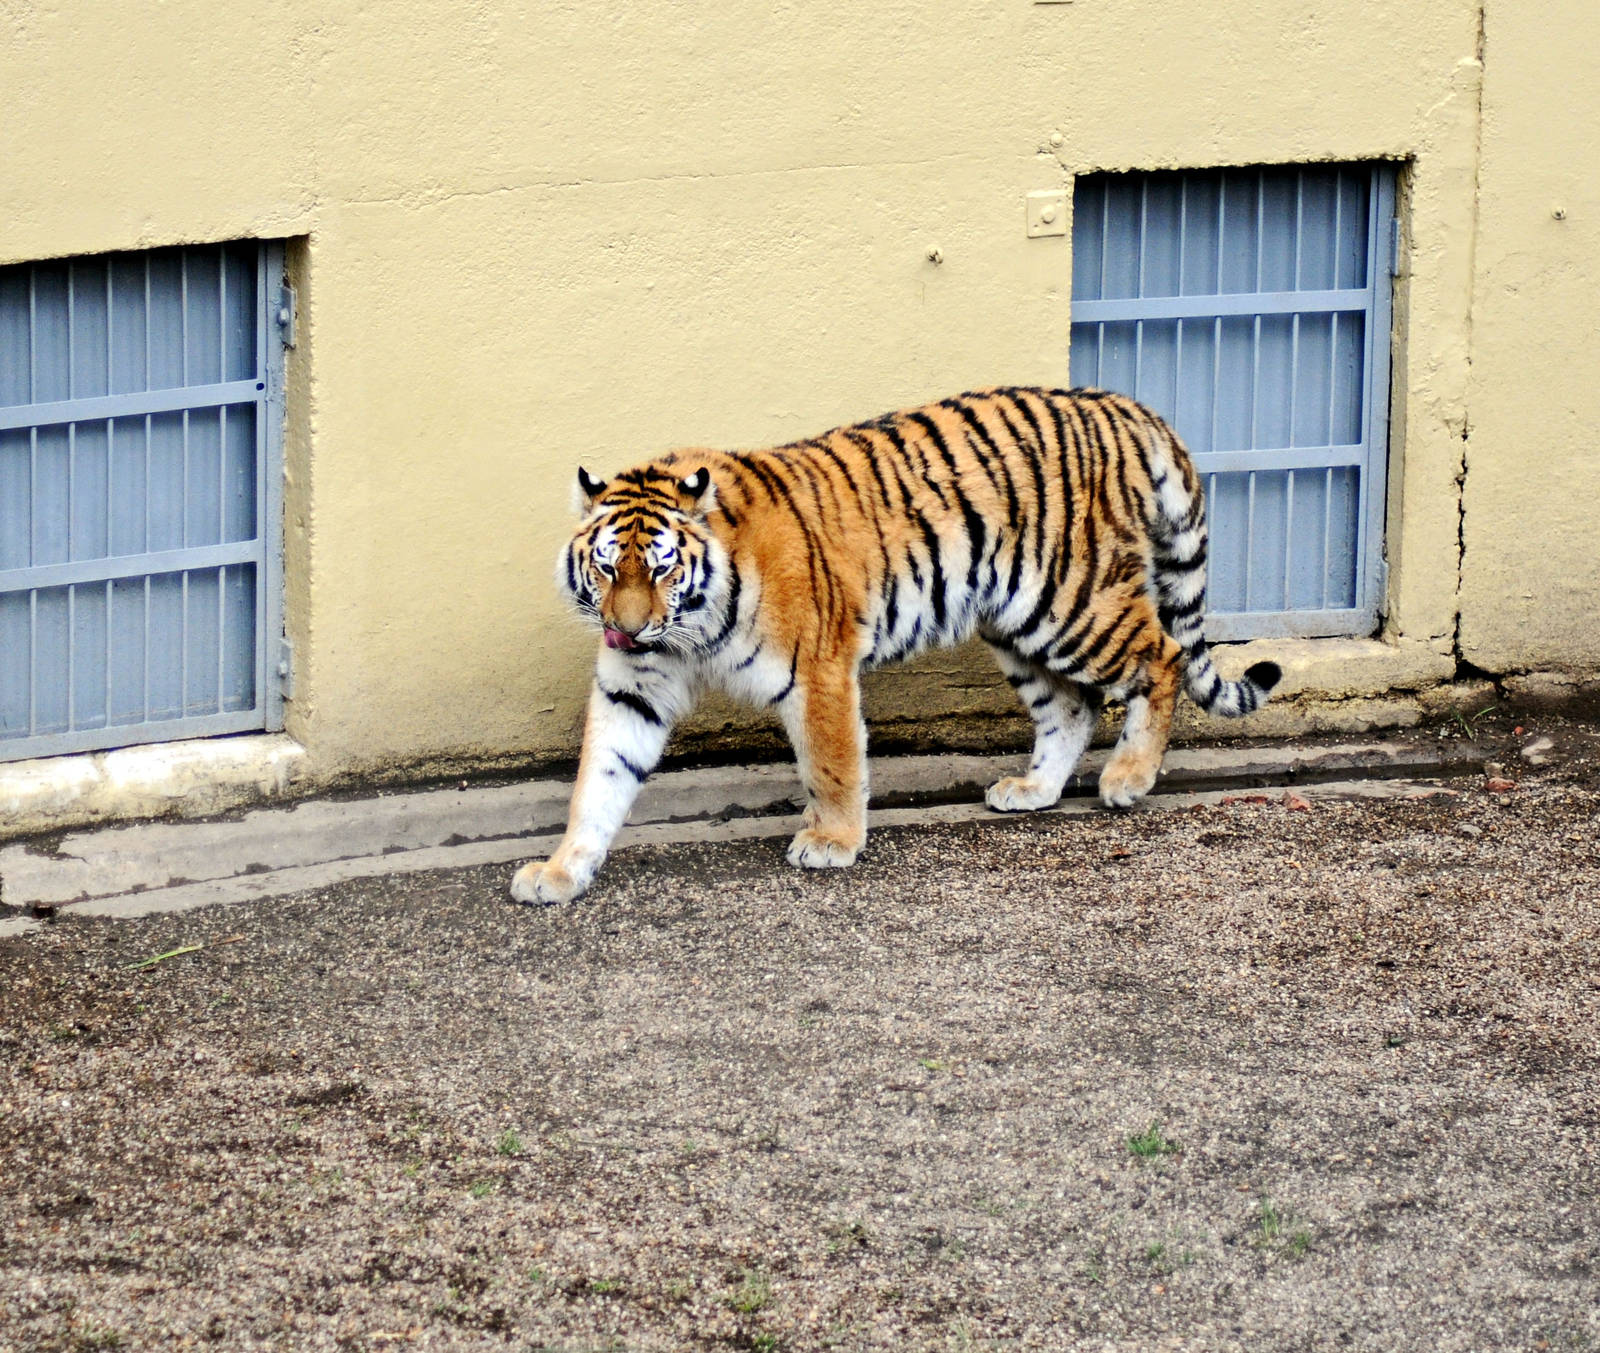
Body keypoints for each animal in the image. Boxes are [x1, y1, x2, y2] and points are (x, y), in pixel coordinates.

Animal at [509, 386, 1280, 905]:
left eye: (663, 568)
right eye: (608, 568)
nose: (627, 628)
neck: (687, 629)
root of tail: (1119, 404)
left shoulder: (816, 668)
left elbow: (831, 765)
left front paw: (833, 842)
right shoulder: (632, 685)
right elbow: (599, 781)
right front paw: (561, 870)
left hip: (1073, 601)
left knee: (1162, 658)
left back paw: (1129, 777)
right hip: (1016, 618)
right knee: (1071, 707)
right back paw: (1033, 790)